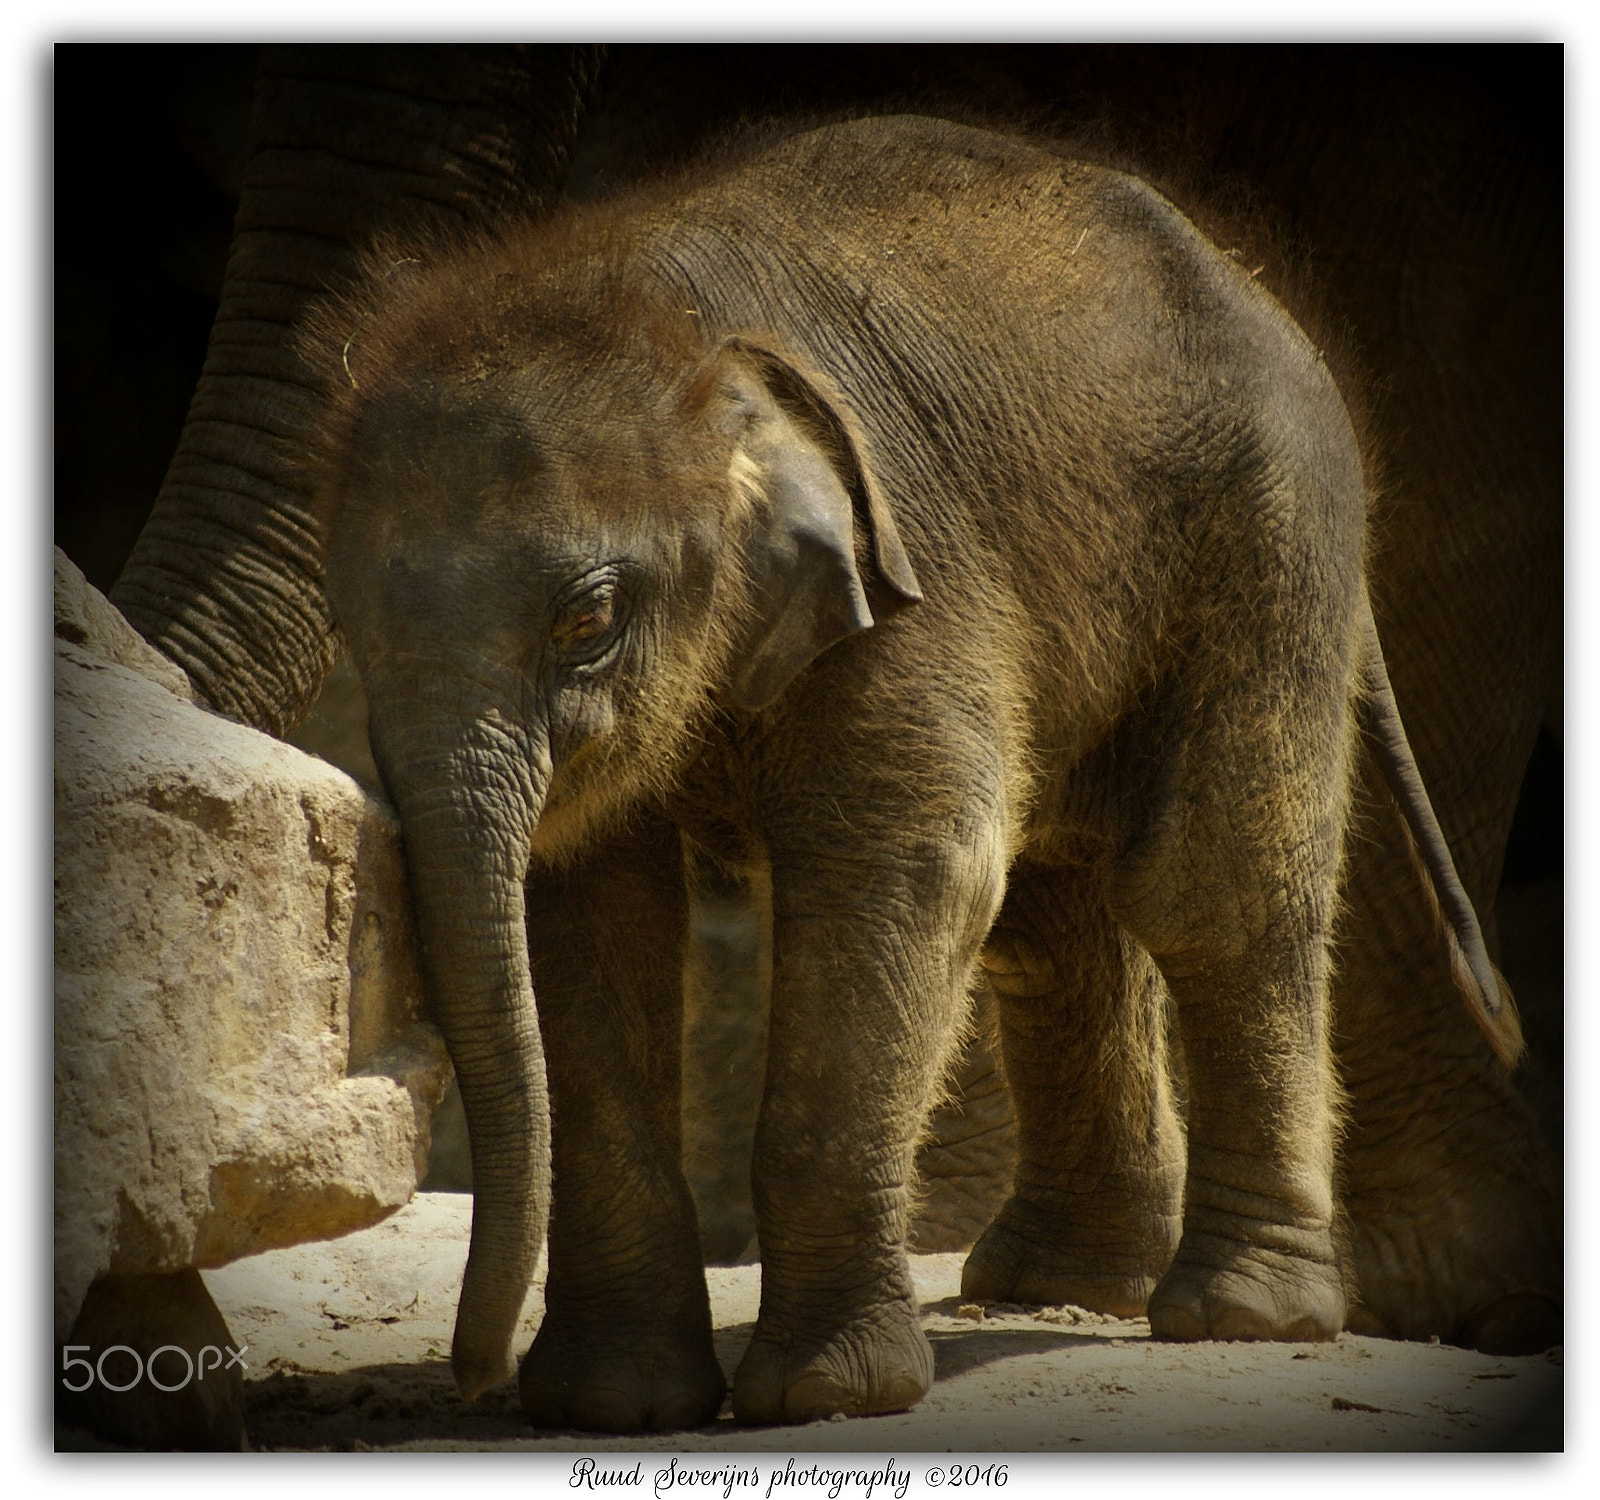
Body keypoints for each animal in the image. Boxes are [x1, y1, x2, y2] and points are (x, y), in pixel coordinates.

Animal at [106, 43, 1555, 1356]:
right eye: (357, 630)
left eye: (589, 624)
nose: (473, 1372)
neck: (658, 327)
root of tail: (1251, 283)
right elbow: (587, 914)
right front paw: (613, 1400)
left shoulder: (915, 571)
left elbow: (901, 871)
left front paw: (828, 1393)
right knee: (1053, 910)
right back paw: (1049, 1285)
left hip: (1266, 531)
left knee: (1204, 885)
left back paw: (1239, 1317)